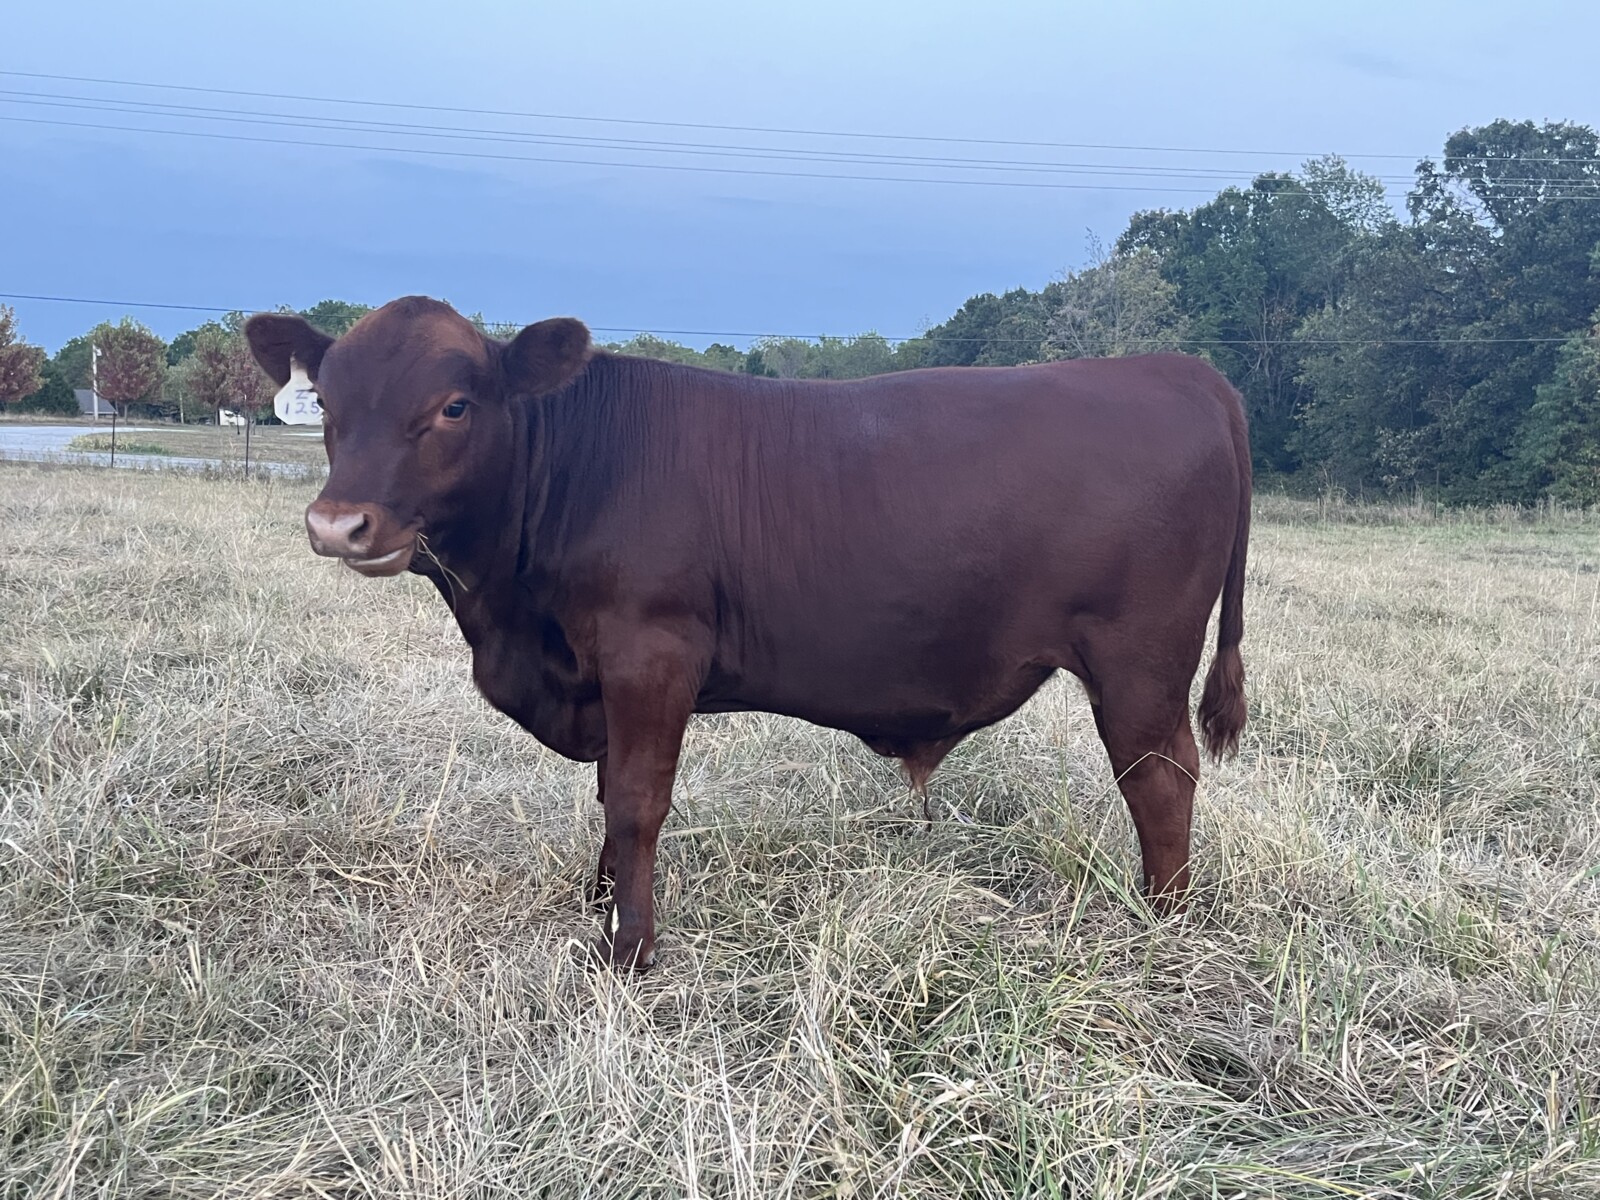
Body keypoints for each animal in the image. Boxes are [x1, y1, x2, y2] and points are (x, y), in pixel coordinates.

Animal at [245, 296, 1250, 972]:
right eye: (326, 401)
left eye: (454, 405)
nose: (338, 524)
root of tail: (1179, 369)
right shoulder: (603, 677)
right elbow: (609, 797)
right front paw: (598, 906)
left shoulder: (652, 652)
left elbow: (637, 801)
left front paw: (630, 950)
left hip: (1139, 663)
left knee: (1160, 781)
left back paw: (1162, 928)